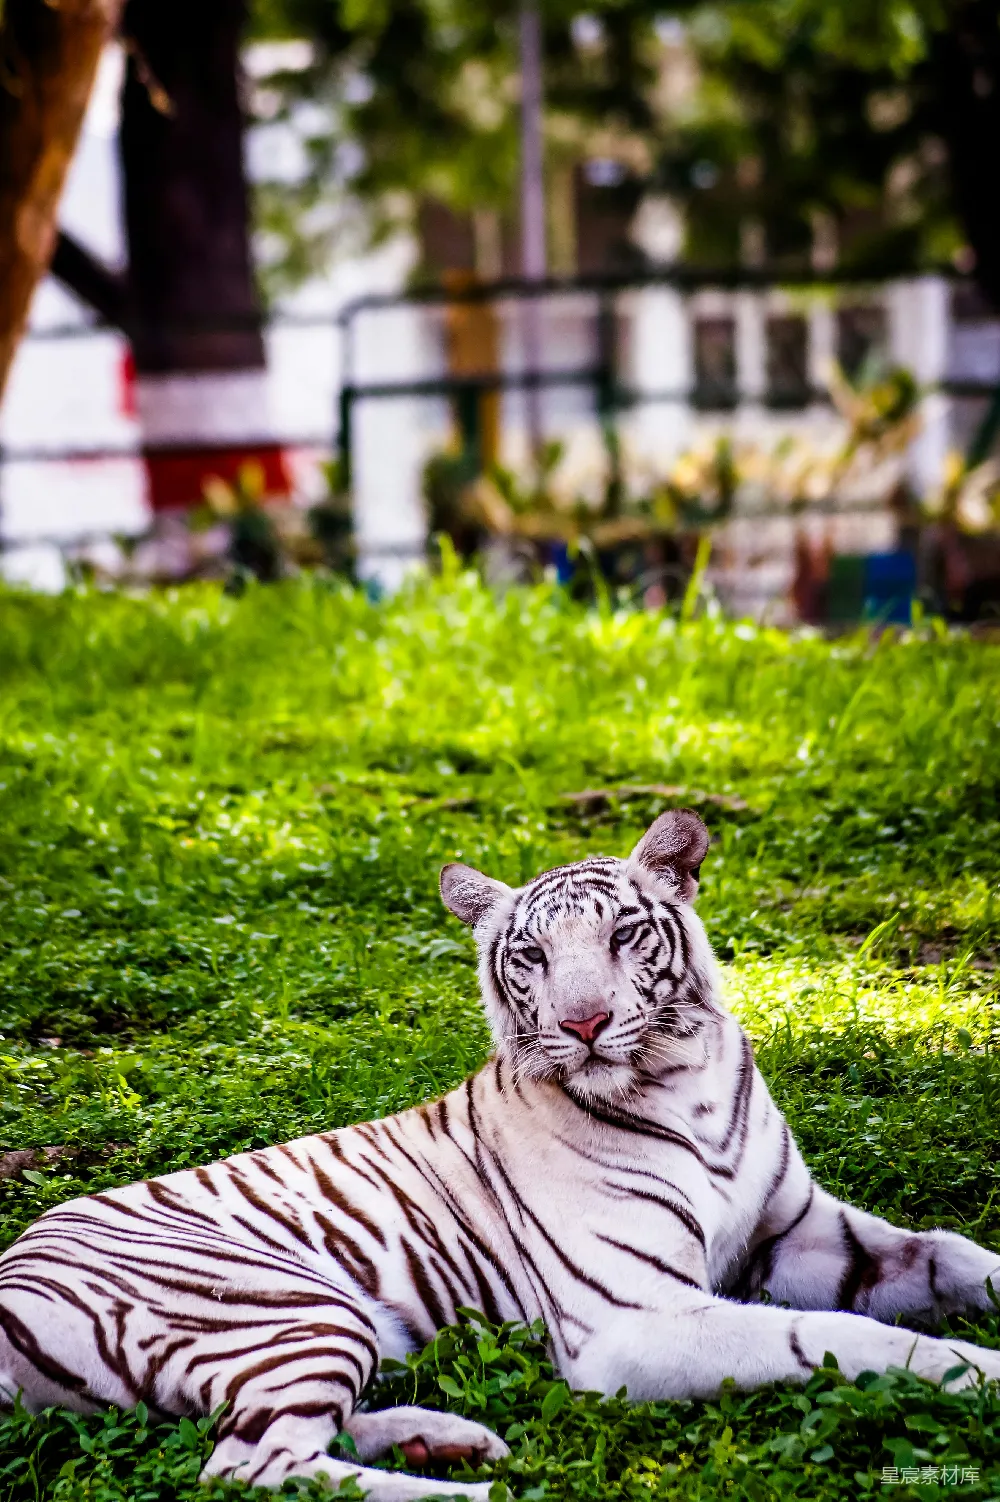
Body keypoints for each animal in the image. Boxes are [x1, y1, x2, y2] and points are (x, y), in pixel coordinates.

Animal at [3, 808, 1000, 1501]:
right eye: (529, 956)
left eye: (623, 935)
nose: (584, 1024)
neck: (684, 1080)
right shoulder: (632, 1318)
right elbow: (842, 1336)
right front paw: (980, 1374)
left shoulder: (800, 1233)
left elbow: (954, 1255)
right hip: (287, 1308)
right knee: (248, 1465)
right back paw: (476, 1484)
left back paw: (445, 1437)